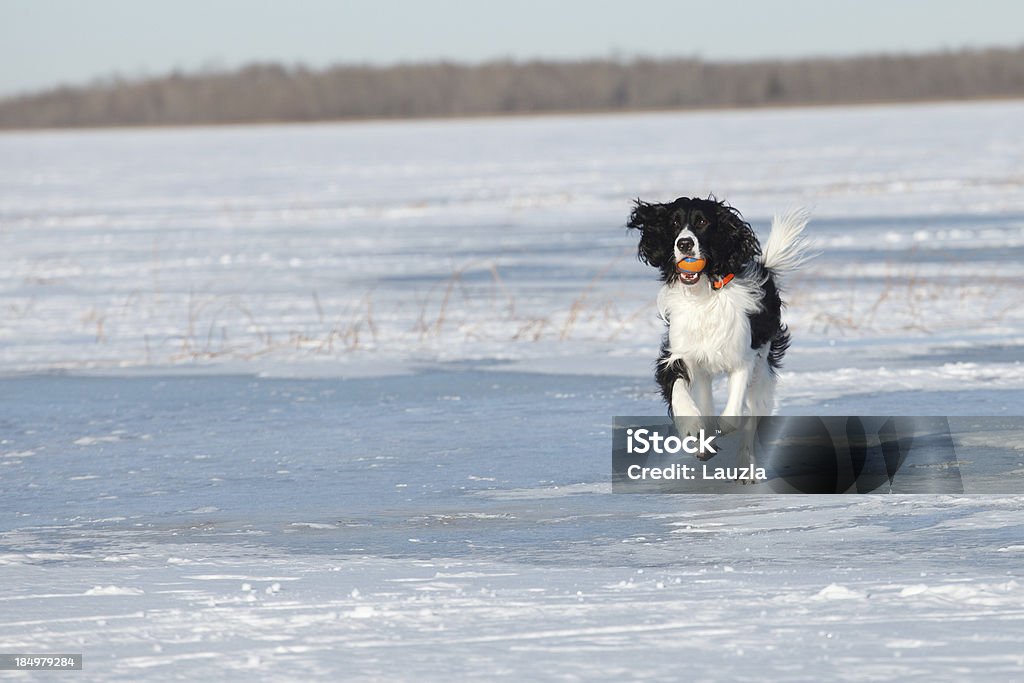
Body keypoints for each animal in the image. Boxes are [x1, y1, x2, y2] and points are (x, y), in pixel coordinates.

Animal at [626, 194, 811, 479]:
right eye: (674, 222)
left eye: (702, 221)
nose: (685, 243)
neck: (704, 294)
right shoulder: (679, 354)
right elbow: (680, 391)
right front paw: (694, 428)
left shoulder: (744, 357)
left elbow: (733, 415)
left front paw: (724, 430)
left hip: (763, 373)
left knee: (753, 416)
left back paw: (746, 466)